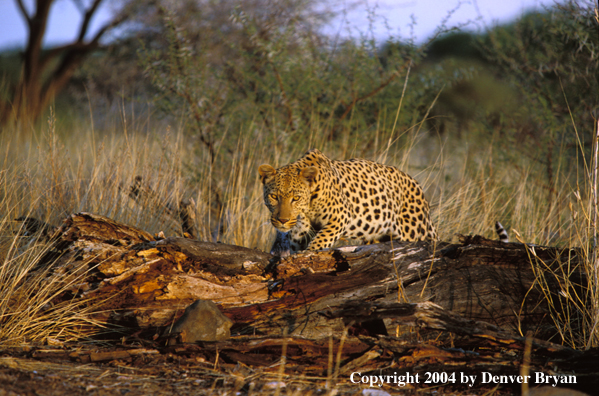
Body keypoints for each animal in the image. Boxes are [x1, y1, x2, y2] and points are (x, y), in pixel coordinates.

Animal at [256, 148, 436, 254]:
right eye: (274, 196)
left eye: (296, 198)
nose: (283, 220)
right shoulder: (299, 233)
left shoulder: (340, 216)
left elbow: (321, 240)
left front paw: (311, 254)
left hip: (413, 233)